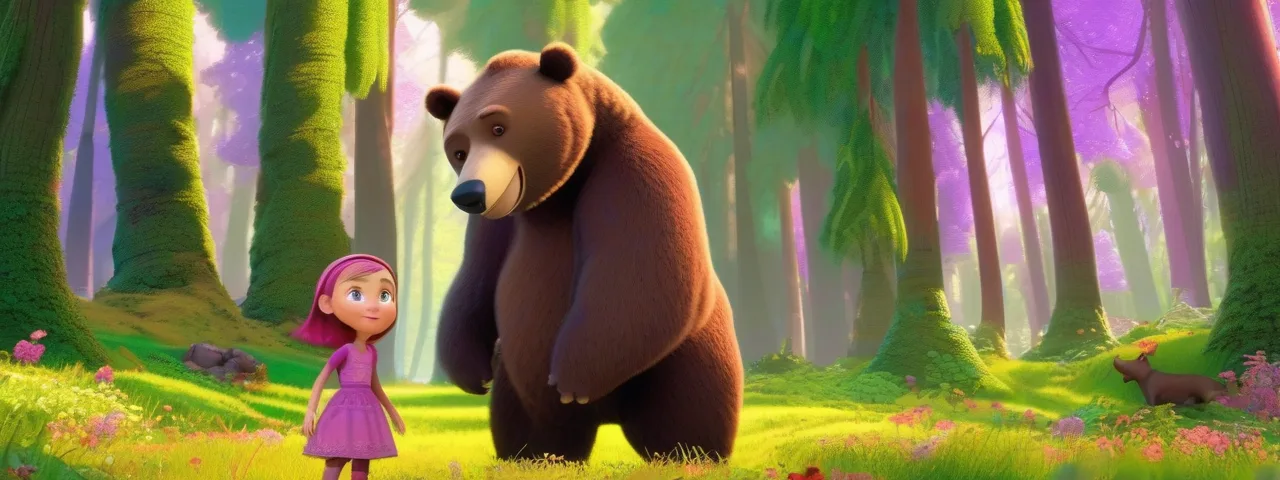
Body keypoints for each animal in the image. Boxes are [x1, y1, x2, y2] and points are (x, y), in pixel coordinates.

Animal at [424, 42, 744, 463]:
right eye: (458, 149)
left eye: (498, 127)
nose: (469, 193)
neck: (556, 196)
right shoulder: (500, 221)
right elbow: (477, 277)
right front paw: (471, 371)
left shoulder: (633, 174)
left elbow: (639, 279)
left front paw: (572, 377)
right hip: (519, 380)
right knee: (528, 422)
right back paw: (534, 455)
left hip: (683, 357)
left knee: (688, 410)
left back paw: (691, 454)